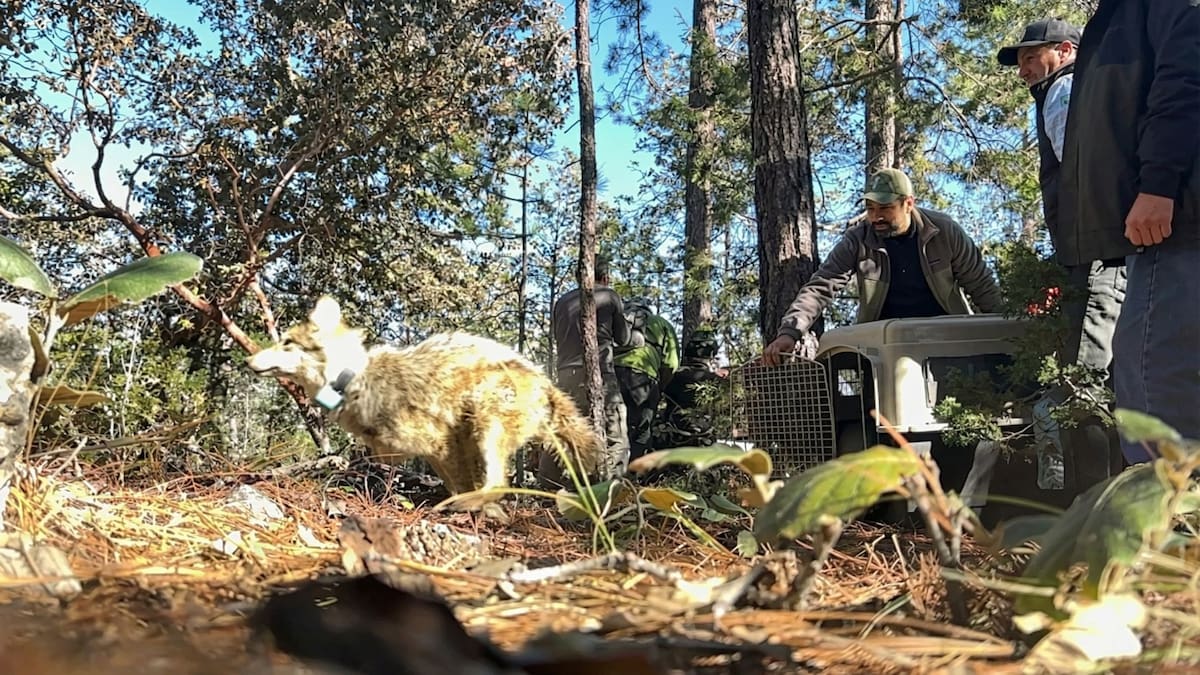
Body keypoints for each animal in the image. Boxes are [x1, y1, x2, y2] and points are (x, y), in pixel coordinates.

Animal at [246, 297, 602, 505]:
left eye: (286, 343)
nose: (248, 361)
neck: (354, 379)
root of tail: (545, 380)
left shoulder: (440, 443)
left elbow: (462, 485)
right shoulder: (422, 453)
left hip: (486, 424)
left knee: (499, 483)